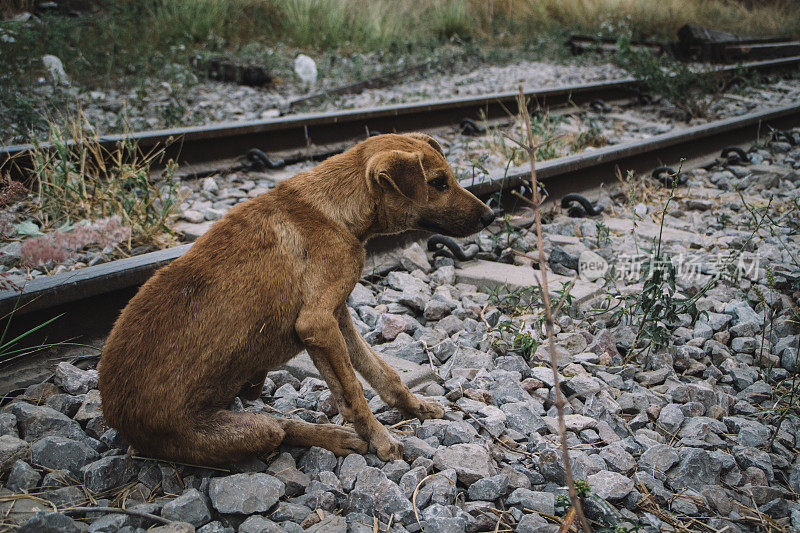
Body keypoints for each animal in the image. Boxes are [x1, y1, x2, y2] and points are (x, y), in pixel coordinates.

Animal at [97, 132, 496, 462]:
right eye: (438, 183)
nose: (492, 214)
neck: (333, 211)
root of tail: (117, 418)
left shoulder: (335, 317)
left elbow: (379, 372)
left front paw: (414, 406)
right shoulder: (317, 323)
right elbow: (354, 390)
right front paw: (381, 440)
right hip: (247, 430)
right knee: (282, 428)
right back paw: (335, 437)